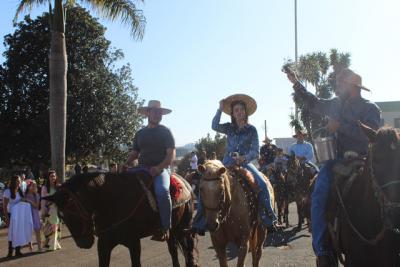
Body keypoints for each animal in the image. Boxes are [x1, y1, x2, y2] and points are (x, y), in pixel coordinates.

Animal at [44, 172, 198, 267]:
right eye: (62, 216)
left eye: (75, 213)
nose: (83, 243)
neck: (113, 203)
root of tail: (184, 182)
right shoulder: (104, 244)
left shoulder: (134, 243)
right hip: (172, 231)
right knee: (173, 251)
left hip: (182, 229)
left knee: (189, 253)